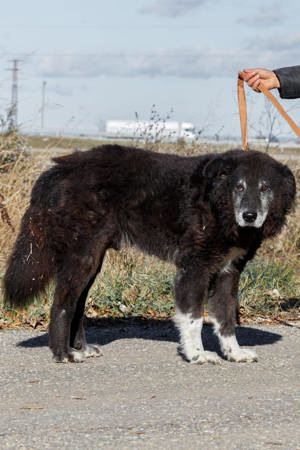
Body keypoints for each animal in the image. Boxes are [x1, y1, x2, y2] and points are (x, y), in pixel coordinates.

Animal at [3, 146, 296, 364]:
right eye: (239, 187)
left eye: (265, 188)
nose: (249, 215)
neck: (217, 201)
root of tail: (59, 168)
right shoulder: (194, 268)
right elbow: (193, 318)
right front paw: (196, 355)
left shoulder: (227, 271)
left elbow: (225, 319)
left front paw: (233, 353)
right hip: (82, 257)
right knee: (62, 303)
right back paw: (63, 354)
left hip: (92, 260)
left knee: (77, 304)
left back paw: (80, 348)